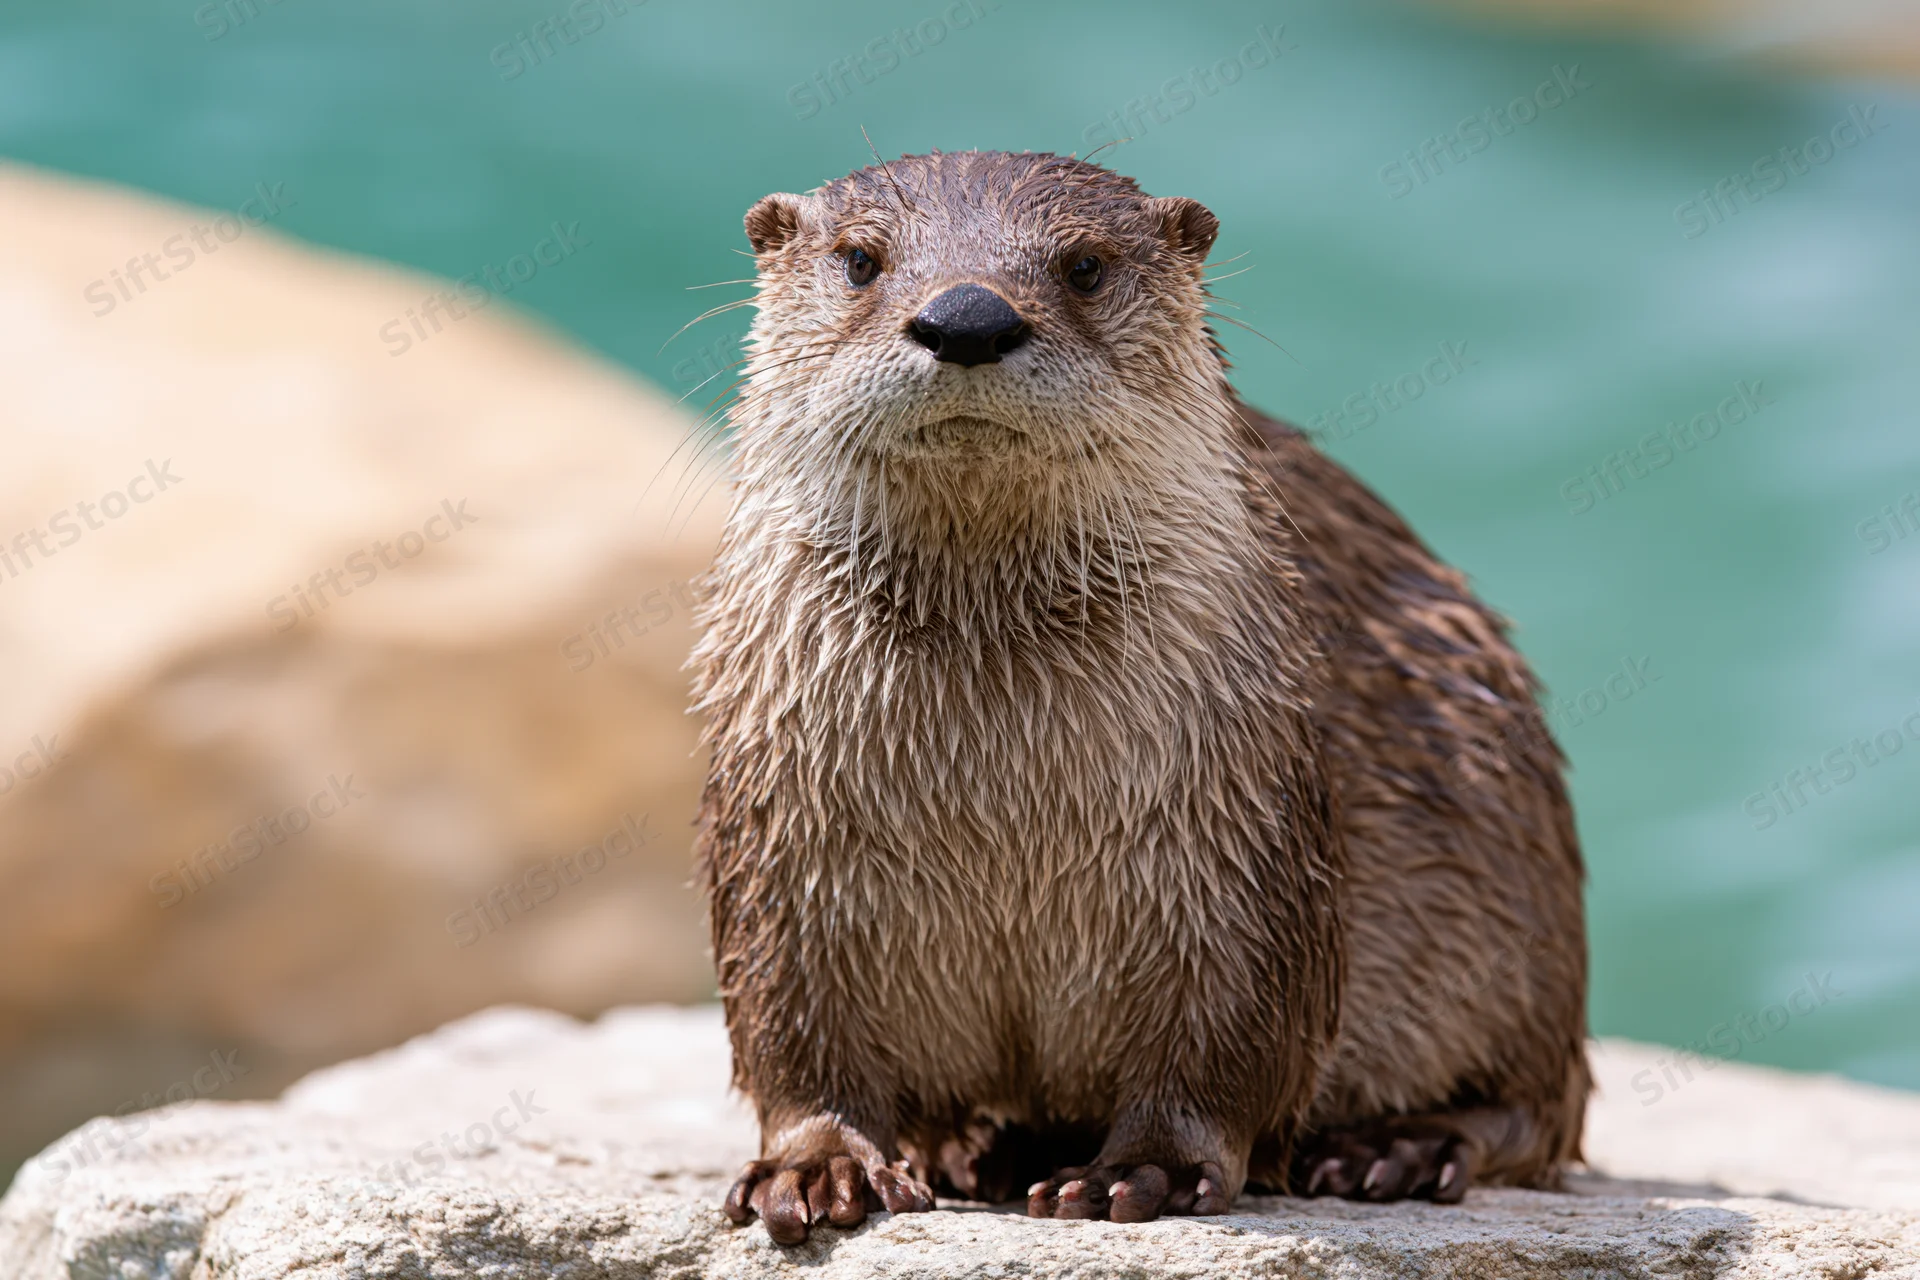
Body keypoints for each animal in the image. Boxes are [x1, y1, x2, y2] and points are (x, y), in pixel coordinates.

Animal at [691, 150, 1588, 1244]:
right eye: (861, 259)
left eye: (1084, 266)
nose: (967, 317)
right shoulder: (780, 833)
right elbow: (793, 1030)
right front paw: (819, 1163)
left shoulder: (1244, 835)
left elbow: (1228, 1038)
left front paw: (1144, 1170)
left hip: (1515, 865)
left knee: (1538, 1105)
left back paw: (1396, 1147)